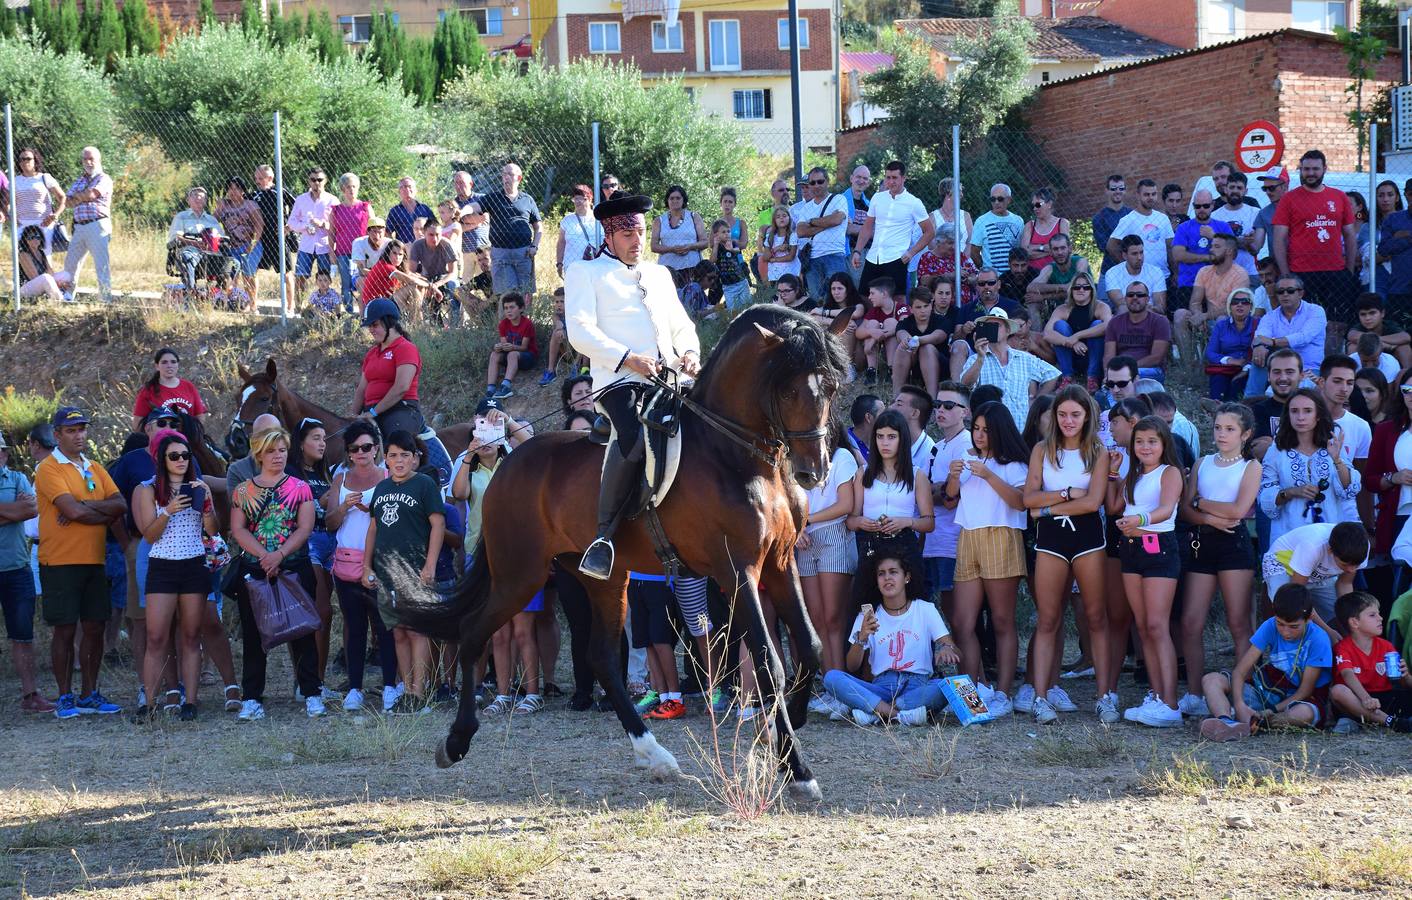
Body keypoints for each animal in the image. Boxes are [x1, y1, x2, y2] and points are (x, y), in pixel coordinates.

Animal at [392, 303, 841, 802]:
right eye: (788, 389)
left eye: (832, 387)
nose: (814, 471)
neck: (736, 456)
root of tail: (507, 462)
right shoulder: (737, 571)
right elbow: (769, 663)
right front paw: (796, 766)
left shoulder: (779, 564)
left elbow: (811, 646)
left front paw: (786, 729)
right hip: (519, 575)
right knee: (474, 634)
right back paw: (455, 742)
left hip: (601, 579)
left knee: (603, 658)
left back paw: (654, 754)